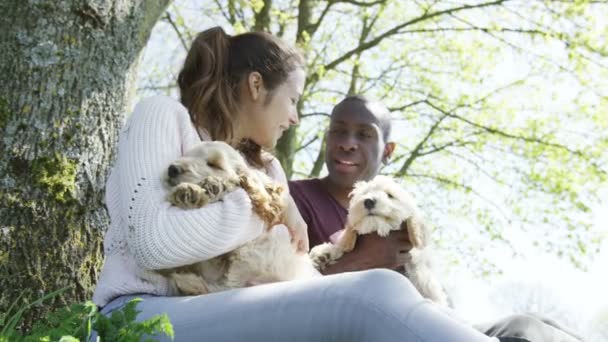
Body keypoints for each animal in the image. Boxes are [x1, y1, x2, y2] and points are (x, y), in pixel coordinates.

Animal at [154, 140, 316, 296]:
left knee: (229, 285)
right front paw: (190, 190)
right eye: (188, 155)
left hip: (271, 241)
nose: (172, 169)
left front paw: (209, 187)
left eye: (214, 164)